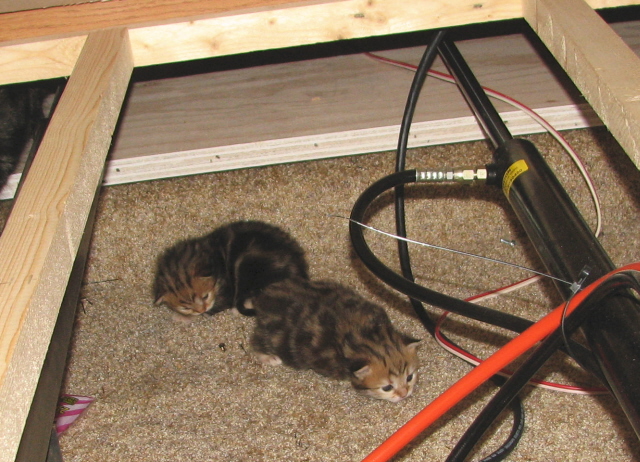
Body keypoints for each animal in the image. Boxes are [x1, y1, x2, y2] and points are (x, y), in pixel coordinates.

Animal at [152, 220, 308, 318]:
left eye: (205, 296)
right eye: (185, 307)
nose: (200, 309)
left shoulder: (225, 291)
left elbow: (212, 309)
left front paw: (182, 318)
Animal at [250, 278, 420, 400]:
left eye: (409, 377)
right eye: (387, 388)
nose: (404, 393)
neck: (371, 335)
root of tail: (264, 296)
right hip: (275, 337)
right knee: (255, 340)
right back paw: (268, 356)